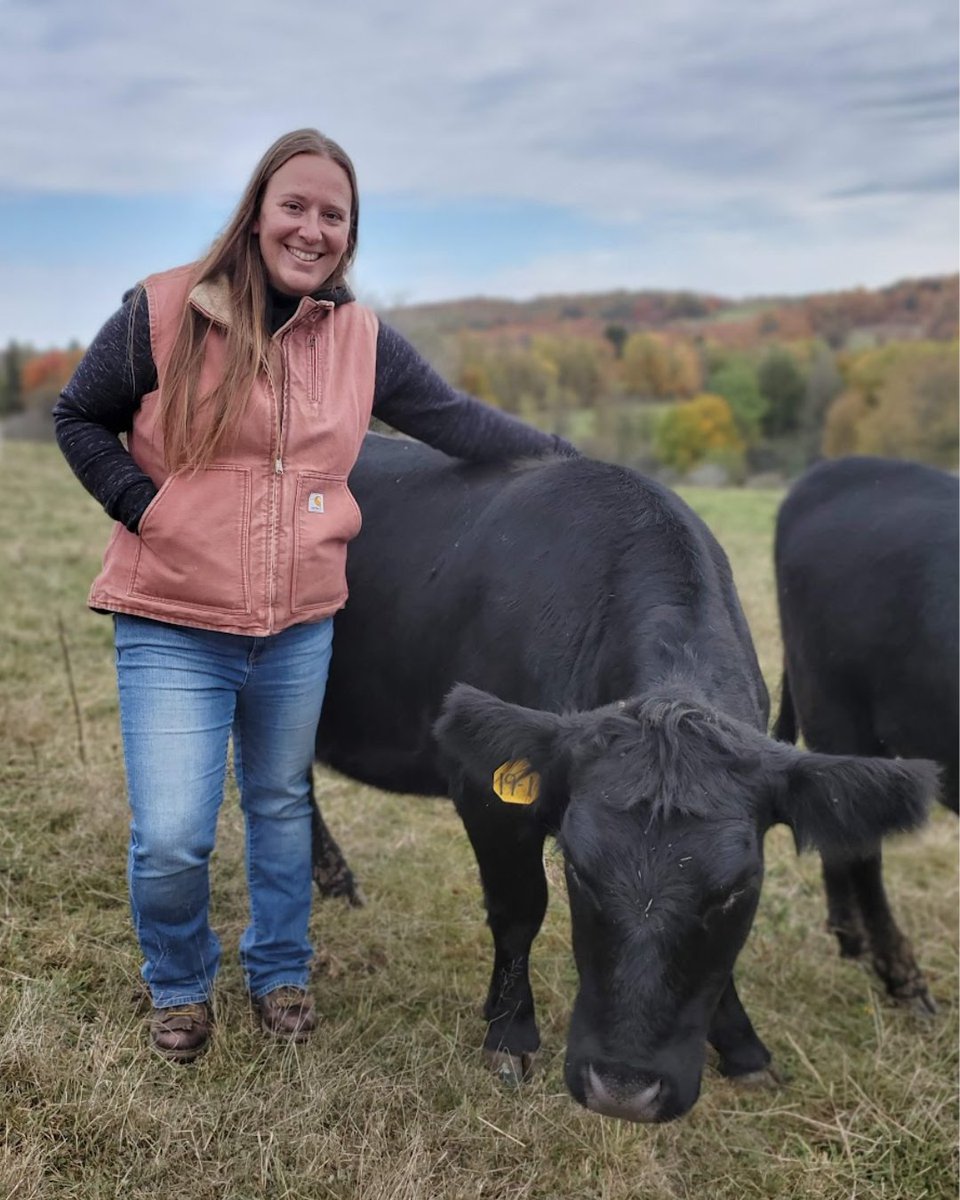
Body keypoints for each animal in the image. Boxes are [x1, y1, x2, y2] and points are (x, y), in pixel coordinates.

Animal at [313, 435, 935, 1122]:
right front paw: (510, 1033)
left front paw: (744, 1048)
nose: (624, 1088)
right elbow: (519, 911)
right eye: (580, 870)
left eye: (736, 889)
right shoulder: (486, 794)